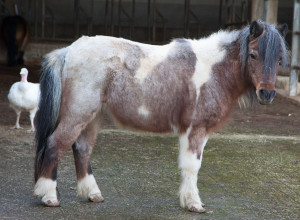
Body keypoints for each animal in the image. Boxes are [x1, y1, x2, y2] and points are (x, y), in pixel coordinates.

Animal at [33, 21, 288, 212]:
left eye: (278, 59)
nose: (267, 93)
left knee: (82, 149)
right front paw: (193, 203)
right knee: (55, 145)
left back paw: (92, 193)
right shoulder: (196, 130)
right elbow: (192, 166)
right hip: (78, 114)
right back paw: (48, 196)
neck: (214, 69)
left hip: (92, 117)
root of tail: (67, 51)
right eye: (253, 55)